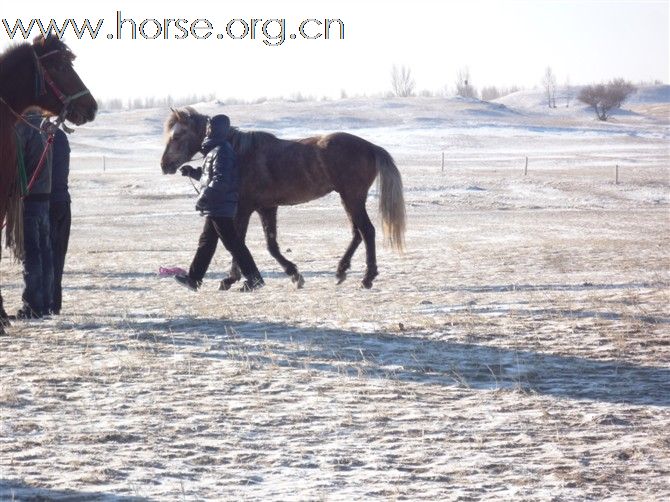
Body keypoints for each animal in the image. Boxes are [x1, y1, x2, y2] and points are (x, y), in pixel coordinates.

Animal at [163, 109, 406, 290]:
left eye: (176, 136)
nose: (164, 165)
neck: (240, 154)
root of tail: (371, 147)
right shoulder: (266, 208)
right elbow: (271, 245)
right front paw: (294, 274)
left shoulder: (243, 209)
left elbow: (238, 242)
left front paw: (233, 279)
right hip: (349, 199)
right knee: (357, 233)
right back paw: (341, 271)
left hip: (352, 198)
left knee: (367, 231)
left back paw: (367, 278)